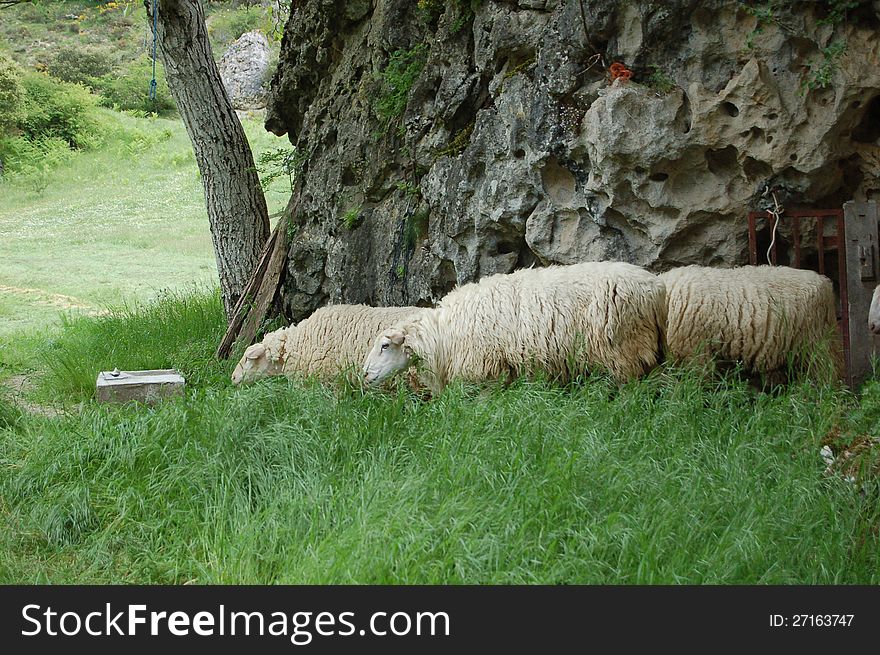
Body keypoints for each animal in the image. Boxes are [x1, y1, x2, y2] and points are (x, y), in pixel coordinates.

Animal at [360, 262, 664, 394]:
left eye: (384, 346)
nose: (363, 374)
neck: (443, 334)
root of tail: (654, 286)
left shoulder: (483, 368)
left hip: (622, 348)